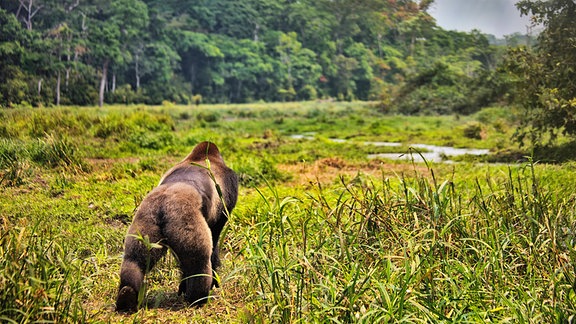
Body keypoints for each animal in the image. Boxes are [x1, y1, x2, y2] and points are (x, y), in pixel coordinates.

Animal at [116, 141, 237, 312]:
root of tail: (163, 204)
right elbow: (215, 238)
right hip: (184, 221)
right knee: (198, 262)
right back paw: (198, 298)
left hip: (145, 220)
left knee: (135, 259)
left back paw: (127, 295)